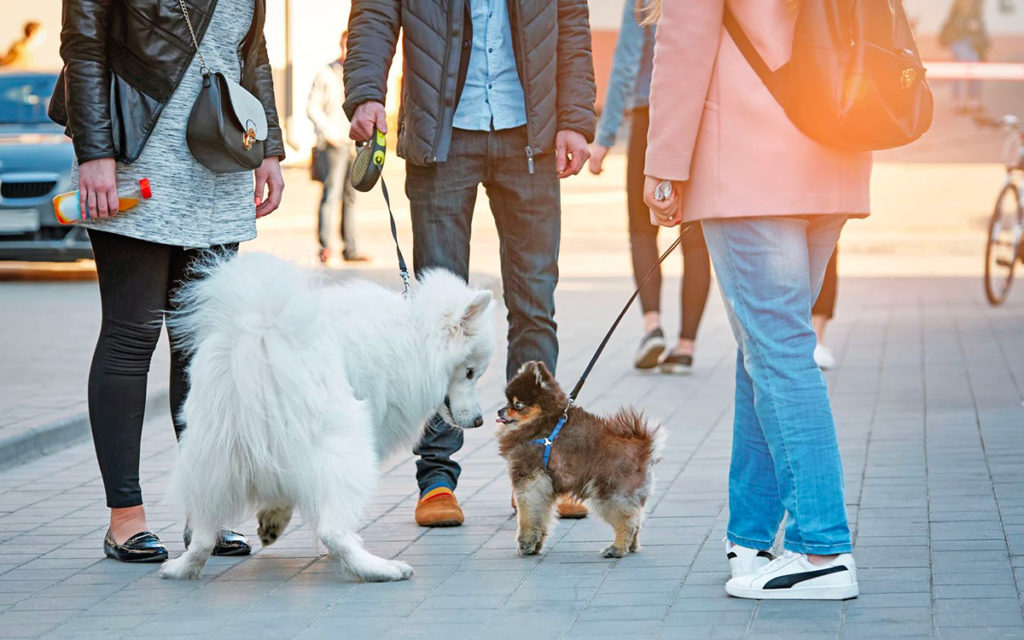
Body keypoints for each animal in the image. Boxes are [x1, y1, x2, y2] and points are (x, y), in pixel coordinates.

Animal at [158, 251, 495, 581]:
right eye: (469, 372)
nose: (480, 420)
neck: (416, 333)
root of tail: (260, 344)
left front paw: (272, 520)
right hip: (350, 448)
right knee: (332, 531)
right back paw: (380, 568)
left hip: (211, 459)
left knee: (202, 535)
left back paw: (181, 566)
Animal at [495, 362, 663, 557]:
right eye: (508, 402)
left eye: (518, 404)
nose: (500, 410)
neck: (542, 422)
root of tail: (643, 447)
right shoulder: (542, 485)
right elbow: (541, 517)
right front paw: (536, 544)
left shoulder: (530, 480)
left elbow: (528, 517)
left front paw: (526, 543)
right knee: (636, 520)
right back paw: (631, 547)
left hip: (609, 491)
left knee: (627, 521)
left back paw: (617, 549)